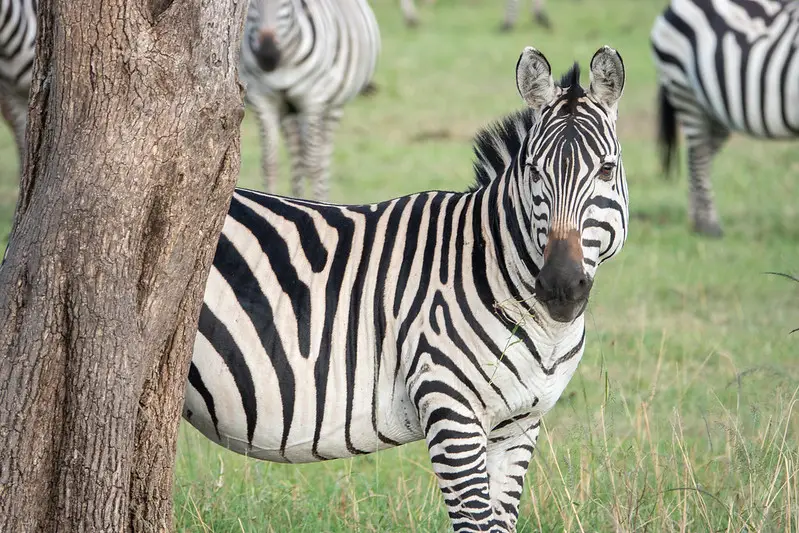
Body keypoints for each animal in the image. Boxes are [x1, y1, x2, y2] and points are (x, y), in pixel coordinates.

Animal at [183, 44, 628, 532]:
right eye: (533, 171)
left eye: (606, 170)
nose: (560, 286)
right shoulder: (450, 410)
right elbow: (474, 523)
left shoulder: (518, 426)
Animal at [241, 0, 380, 201]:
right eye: (250, 4)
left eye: (286, 3)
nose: (267, 56)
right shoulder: (262, 100)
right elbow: (269, 164)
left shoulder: (313, 99)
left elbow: (314, 166)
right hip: (289, 110)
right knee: (298, 156)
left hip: (333, 106)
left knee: (322, 158)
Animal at [651, 0, 799, 237]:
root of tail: (673, 6)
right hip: (684, 90)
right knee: (699, 157)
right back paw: (708, 226)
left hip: (714, 111)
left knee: (698, 157)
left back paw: (696, 220)